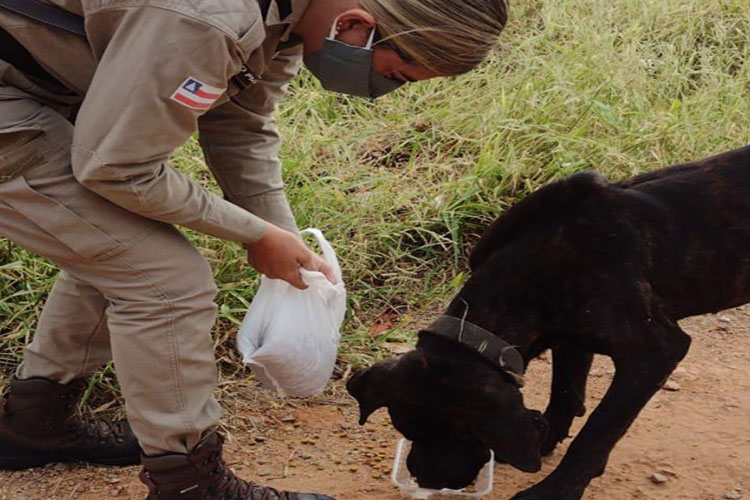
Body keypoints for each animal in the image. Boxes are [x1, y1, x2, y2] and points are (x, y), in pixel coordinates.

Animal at [348, 146, 750, 500]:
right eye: (406, 429)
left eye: (464, 436)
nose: (426, 480)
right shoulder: (571, 336)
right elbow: (565, 392)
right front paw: (544, 440)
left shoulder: (653, 352)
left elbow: (597, 432)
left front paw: (555, 490)